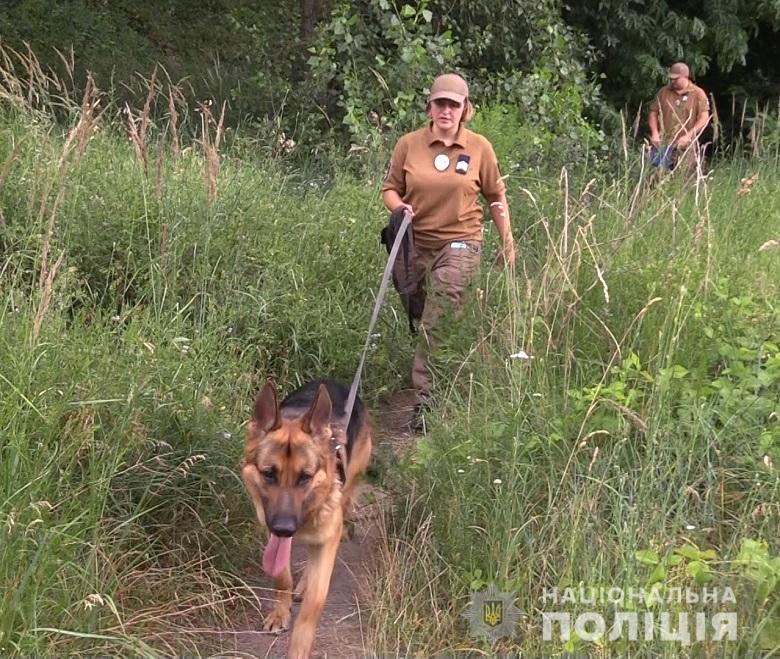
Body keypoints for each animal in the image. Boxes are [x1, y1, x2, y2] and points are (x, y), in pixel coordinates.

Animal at [241, 378, 372, 656]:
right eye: (269, 474)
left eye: (305, 477)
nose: (285, 528)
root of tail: (337, 382)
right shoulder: (270, 527)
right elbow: (281, 576)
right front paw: (280, 612)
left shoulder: (328, 538)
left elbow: (314, 601)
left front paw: (299, 648)